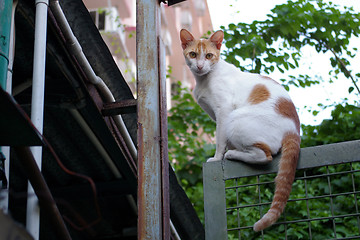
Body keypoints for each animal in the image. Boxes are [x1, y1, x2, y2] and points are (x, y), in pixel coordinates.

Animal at [180, 28, 300, 232]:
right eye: (193, 55)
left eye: (209, 55)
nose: (200, 66)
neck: (204, 80)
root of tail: (294, 130)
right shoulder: (216, 115)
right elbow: (223, 139)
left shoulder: (224, 111)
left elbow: (219, 141)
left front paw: (217, 157)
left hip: (235, 121)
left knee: (265, 156)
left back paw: (233, 155)